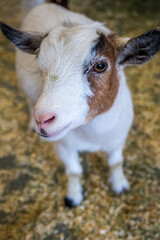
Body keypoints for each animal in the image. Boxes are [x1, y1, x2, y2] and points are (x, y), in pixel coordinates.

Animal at [0, 2, 160, 207]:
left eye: (100, 66)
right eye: (40, 67)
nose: (42, 119)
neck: (93, 135)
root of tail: (43, 4)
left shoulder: (118, 139)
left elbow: (116, 162)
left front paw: (119, 185)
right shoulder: (64, 146)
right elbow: (74, 171)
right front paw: (73, 197)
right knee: (28, 99)